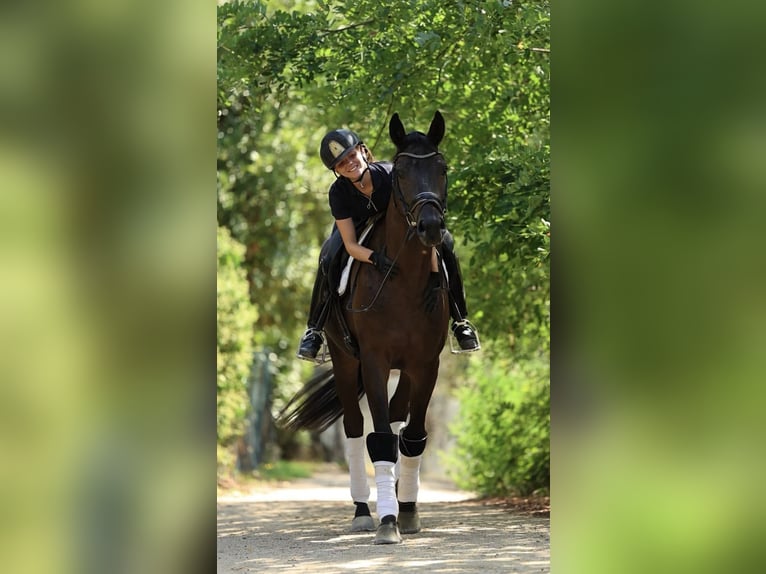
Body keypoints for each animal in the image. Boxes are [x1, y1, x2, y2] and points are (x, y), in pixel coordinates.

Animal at [280, 110, 450, 548]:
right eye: (402, 171)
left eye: (441, 168)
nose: (430, 227)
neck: (404, 279)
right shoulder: (374, 361)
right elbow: (381, 439)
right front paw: (388, 522)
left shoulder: (425, 364)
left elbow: (412, 435)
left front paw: (407, 512)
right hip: (344, 359)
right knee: (356, 429)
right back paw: (361, 511)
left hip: (405, 370)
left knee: (398, 418)